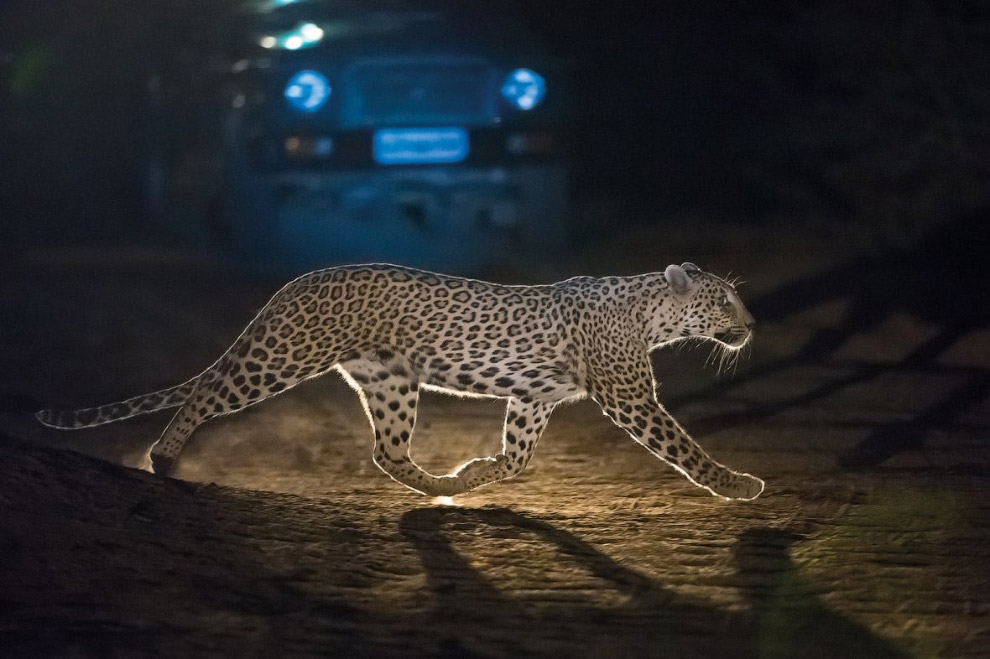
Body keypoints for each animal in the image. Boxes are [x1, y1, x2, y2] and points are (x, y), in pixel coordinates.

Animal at [36, 262, 768, 500]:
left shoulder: (532, 398)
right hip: (279, 359)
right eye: (725, 301)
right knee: (205, 393)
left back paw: (442, 484)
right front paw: (739, 485)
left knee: (386, 451)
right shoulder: (632, 399)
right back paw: (162, 456)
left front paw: (477, 472)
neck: (652, 314)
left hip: (391, 383)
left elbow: (518, 457)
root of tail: (292, 283)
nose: (753, 324)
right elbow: (686, 449)